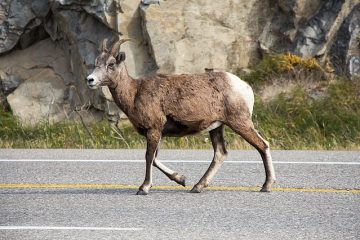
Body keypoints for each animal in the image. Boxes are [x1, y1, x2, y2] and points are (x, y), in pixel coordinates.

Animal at [86, 38, 276, 195]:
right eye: (96, 63)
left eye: (111, 64)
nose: (90, 80)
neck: (134, 93)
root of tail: (244, 86)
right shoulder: (158, 133)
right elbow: (155, 159)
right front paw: (181, 179)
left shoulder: (153, 130)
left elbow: (149, 157)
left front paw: (144, 188)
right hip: (217, 127)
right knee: (220, 153)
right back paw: (197, 187)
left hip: (239, 122)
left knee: (262, 145)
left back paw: (266, 185)